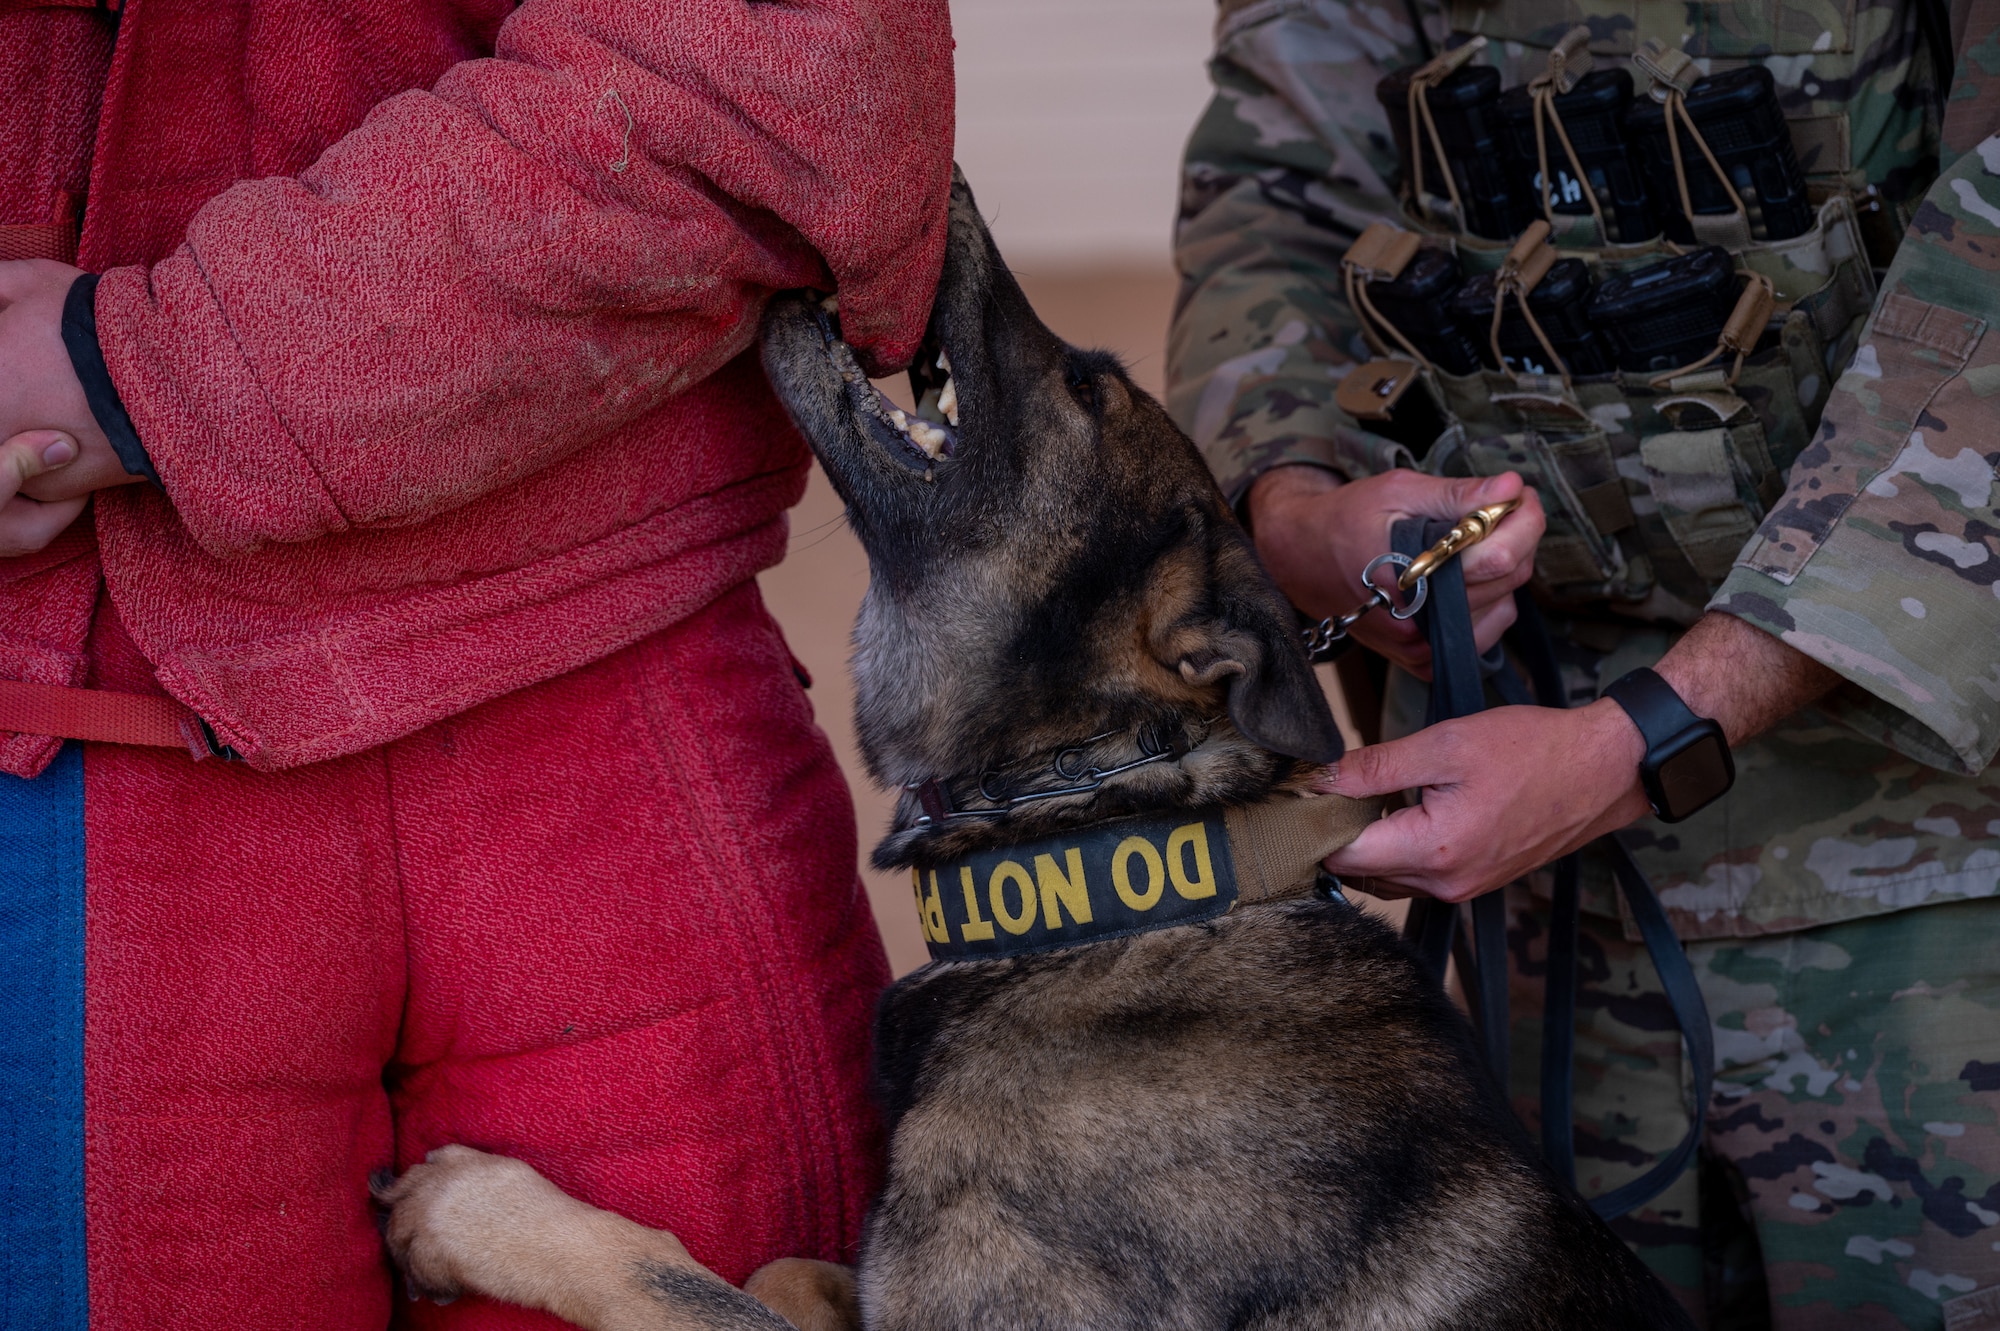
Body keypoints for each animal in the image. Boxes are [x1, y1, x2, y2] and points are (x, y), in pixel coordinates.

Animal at [372, 175, 1688, 1327]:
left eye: (1085, 381)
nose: (943, 178)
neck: (1097, 856)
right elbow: (780, 1268)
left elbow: (678, 1279)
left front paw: (473, 1209)